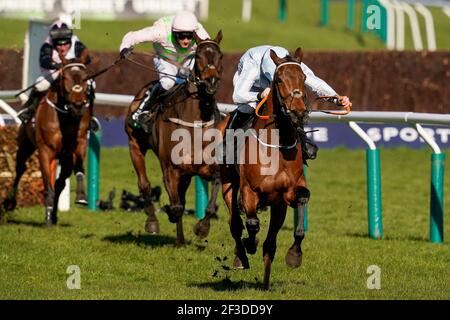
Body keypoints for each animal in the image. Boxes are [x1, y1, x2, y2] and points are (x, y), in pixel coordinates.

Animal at [0, 52, 92, 226]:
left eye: (85, 78)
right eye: (64, 77)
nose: (77, 106)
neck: (66, 116)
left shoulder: (78, 145)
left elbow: (79, 169)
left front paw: (81, 196)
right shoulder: (45, 151)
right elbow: (47, 187)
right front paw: (47, 218)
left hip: (65, 158)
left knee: (60, 183)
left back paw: (55, 214)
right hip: (25, 145)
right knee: (20, 169)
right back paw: (10, 202)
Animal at [125, 30, 225, 245]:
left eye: (220, 56)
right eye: (198, 56)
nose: (211, 82)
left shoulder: (205, 167)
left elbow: (210, 198)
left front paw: (202, 227)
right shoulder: (170, 169)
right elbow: (177, 206)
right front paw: (170, 216)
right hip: (134, 145)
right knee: (144, 184)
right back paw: (153, 221)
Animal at [220, 48, 312, 290]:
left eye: (304, 78)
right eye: (279, 80)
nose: (299, 112)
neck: (276, 146)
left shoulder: (287, 194)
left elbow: (302, 201)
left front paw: (294, 255)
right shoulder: (249, 190)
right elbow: (251, 223)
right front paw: (249, 244)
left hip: (277, 205)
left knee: (270, 242)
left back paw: (265, 281)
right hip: (227, 182)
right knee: (235, 224)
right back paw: (241, 257)